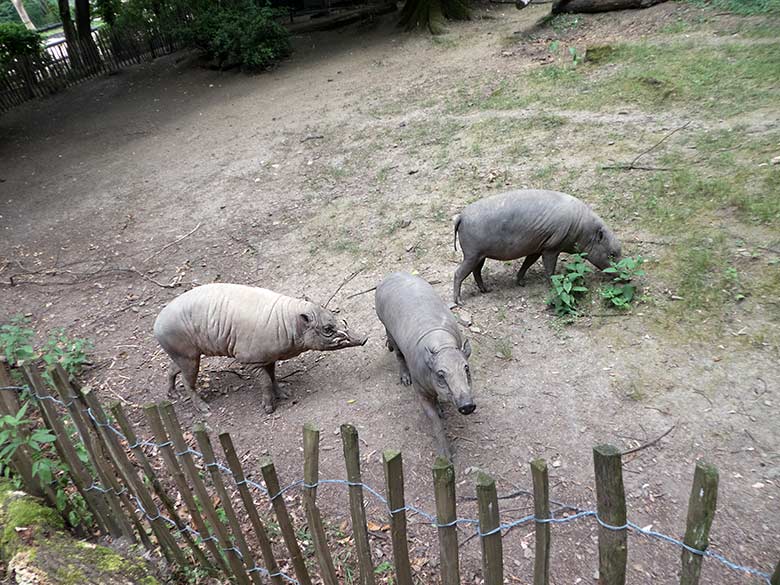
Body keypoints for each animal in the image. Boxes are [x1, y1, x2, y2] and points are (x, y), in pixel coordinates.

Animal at [157, 282, 370, 410]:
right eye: (327, 329)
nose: (365, 338)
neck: (290, 324)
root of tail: (156, 324)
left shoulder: (269, 357)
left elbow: (273, 377)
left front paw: (284, 394)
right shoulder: (250, 360)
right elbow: (266, 381)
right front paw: (268, 408)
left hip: (184, 353)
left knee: (173, 369)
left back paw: (172, 393)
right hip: (186, 353)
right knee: (188, 380)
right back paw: (203, 408)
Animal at [374, 272, 476, 458]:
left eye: (466, 368)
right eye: (441, 374)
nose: (467, 406)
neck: (442, 347)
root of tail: (389, 276)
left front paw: (441, 409)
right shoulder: (420, 389)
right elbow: (434, 420)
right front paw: (445, 457)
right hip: (387, 327)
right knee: (398, 354)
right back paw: (403, 377)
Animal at [450, 189, 620, 304]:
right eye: (612, 254)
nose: (624, 278)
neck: (582, 230)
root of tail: (460, 217)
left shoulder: (538, 249)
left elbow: (527, 264)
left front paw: (520, 282)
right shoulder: (551, 249)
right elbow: (550, 270)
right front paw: (552, 286)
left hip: (480, 256)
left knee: (476, 272)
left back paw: (486, 290)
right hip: (472, 255)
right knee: (459, 273)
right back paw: (459, 301)